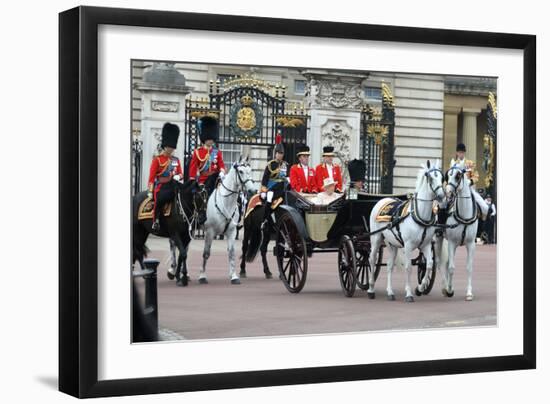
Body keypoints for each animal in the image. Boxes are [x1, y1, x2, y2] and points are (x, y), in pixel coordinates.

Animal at [366, 159, 448, 302]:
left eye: (442, 177)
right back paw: (371, 289)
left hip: (392, 244)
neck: (420, 215)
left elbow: (429, 265)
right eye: (430, 178)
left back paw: (390, 292)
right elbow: (408, 267)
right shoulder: (408, 245)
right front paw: (409, 293)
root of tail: (383, 199)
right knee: (372, 259)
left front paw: (420, 288)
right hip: (376, 239)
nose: (441, 196)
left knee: (389, 265)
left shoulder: (426, 245)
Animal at [440, 162, 484, 300]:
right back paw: (445, 287)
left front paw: (469, 293)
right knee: (441, 263)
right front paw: (449, 290)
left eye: (458, 176)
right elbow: (451, 267)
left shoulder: (471, 244)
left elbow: (469, 267)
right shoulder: (451, 243)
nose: (448, 193)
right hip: (440, 239)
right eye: (447, 175)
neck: (464, 216)